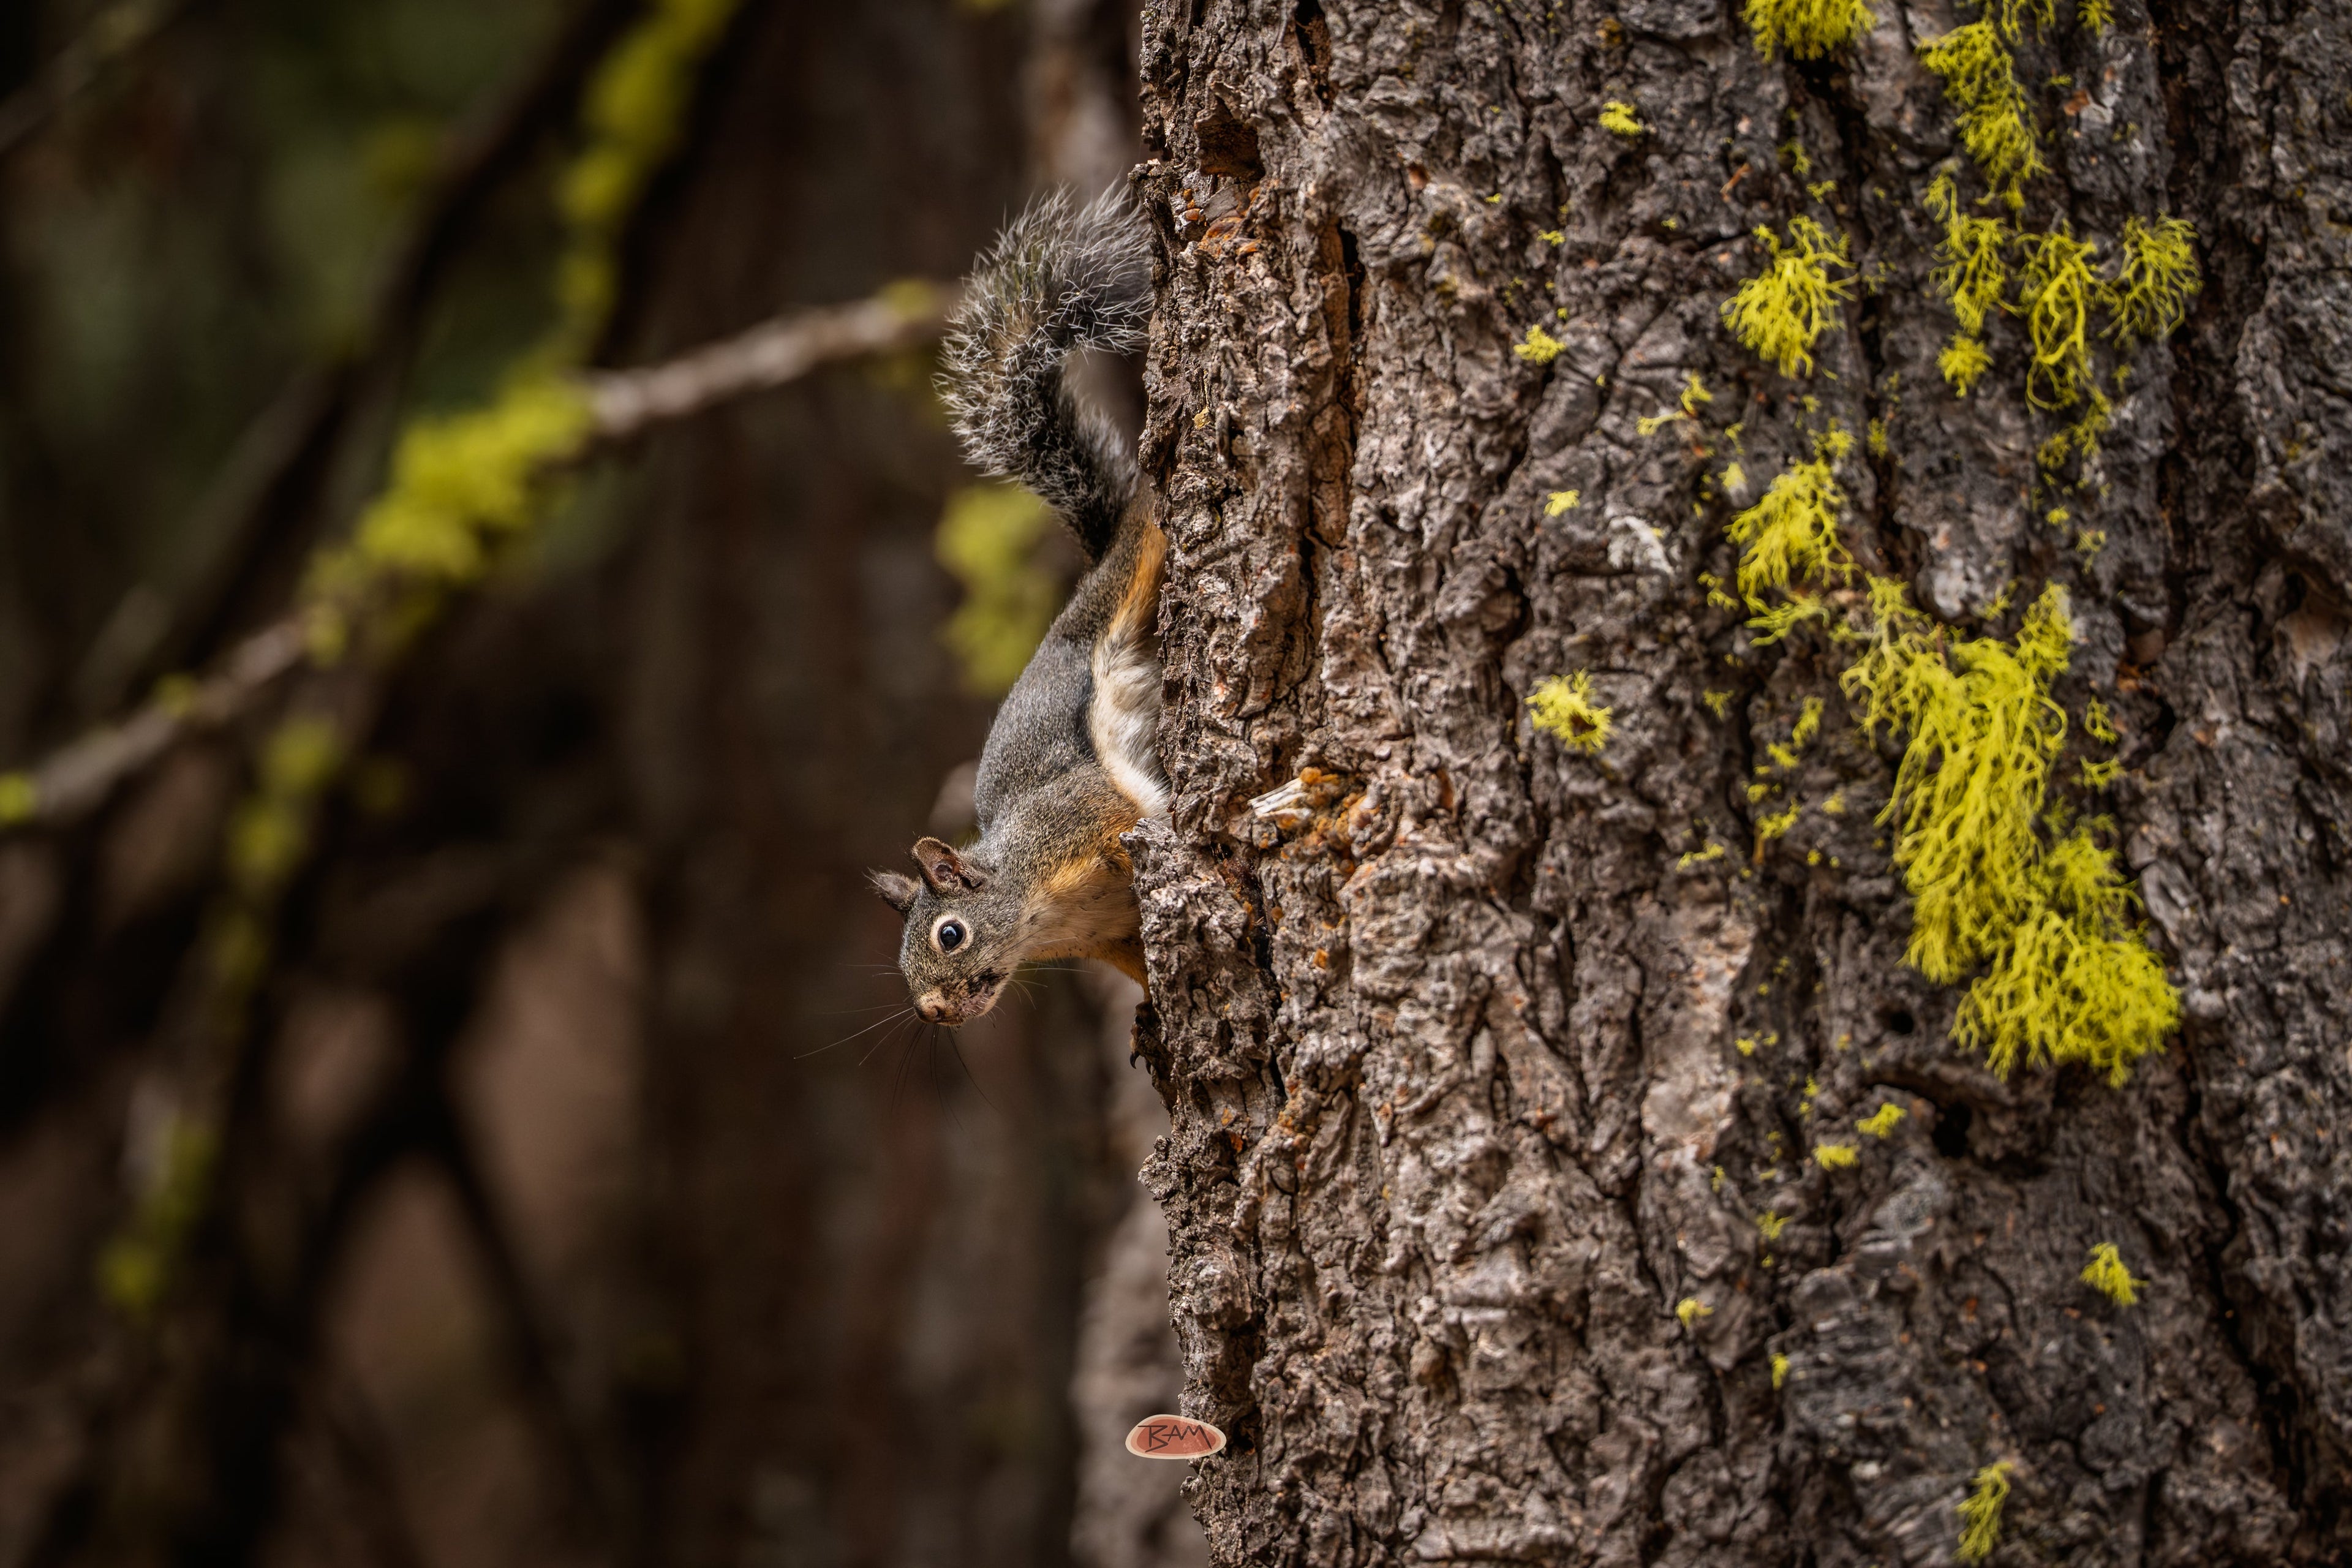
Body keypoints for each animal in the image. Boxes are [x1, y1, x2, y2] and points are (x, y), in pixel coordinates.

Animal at [870, 189, 1166, 1026]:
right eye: (901, 966)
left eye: (951, 933)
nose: (934, 1013)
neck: (1042, 907)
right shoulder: (1112, 936)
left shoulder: (1076, 815)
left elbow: (1125, 814)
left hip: (1126, 578)